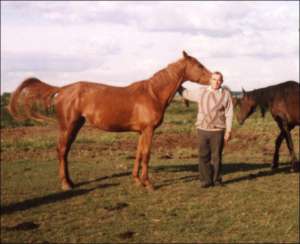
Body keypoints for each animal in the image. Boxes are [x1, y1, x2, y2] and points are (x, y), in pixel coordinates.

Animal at [8, 50, 212, 191]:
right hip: (68, 126)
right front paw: (148, 184)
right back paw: (65, 184)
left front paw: (137, 180)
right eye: (199, 65)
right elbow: (146, 155)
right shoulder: (148, 130)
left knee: (65, 152)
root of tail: (63, 88)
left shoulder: (142, 132)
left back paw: (71, 182)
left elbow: (139, 154)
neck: (152, 94)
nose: (214, 77)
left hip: (75, 126)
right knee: (62, 150)